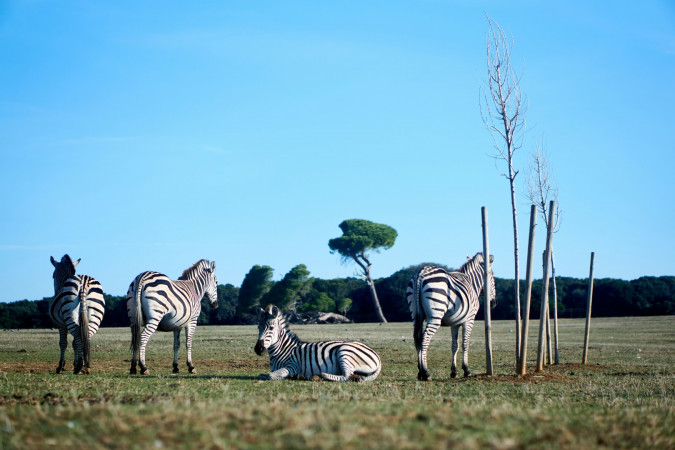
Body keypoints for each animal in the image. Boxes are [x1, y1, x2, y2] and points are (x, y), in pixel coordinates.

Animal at [406, 251, 496, 382]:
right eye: (493, 277)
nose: (493, 303)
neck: (472, 282)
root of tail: (421, 273)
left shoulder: (455, 323)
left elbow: (455, 345)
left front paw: (454, 371)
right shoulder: (469, 320)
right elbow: (465, 344)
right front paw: (466, 370)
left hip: (416, 315)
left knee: (417, 339)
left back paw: (420, 372)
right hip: (435, 315)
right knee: (424, 339)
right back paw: (426, 372)